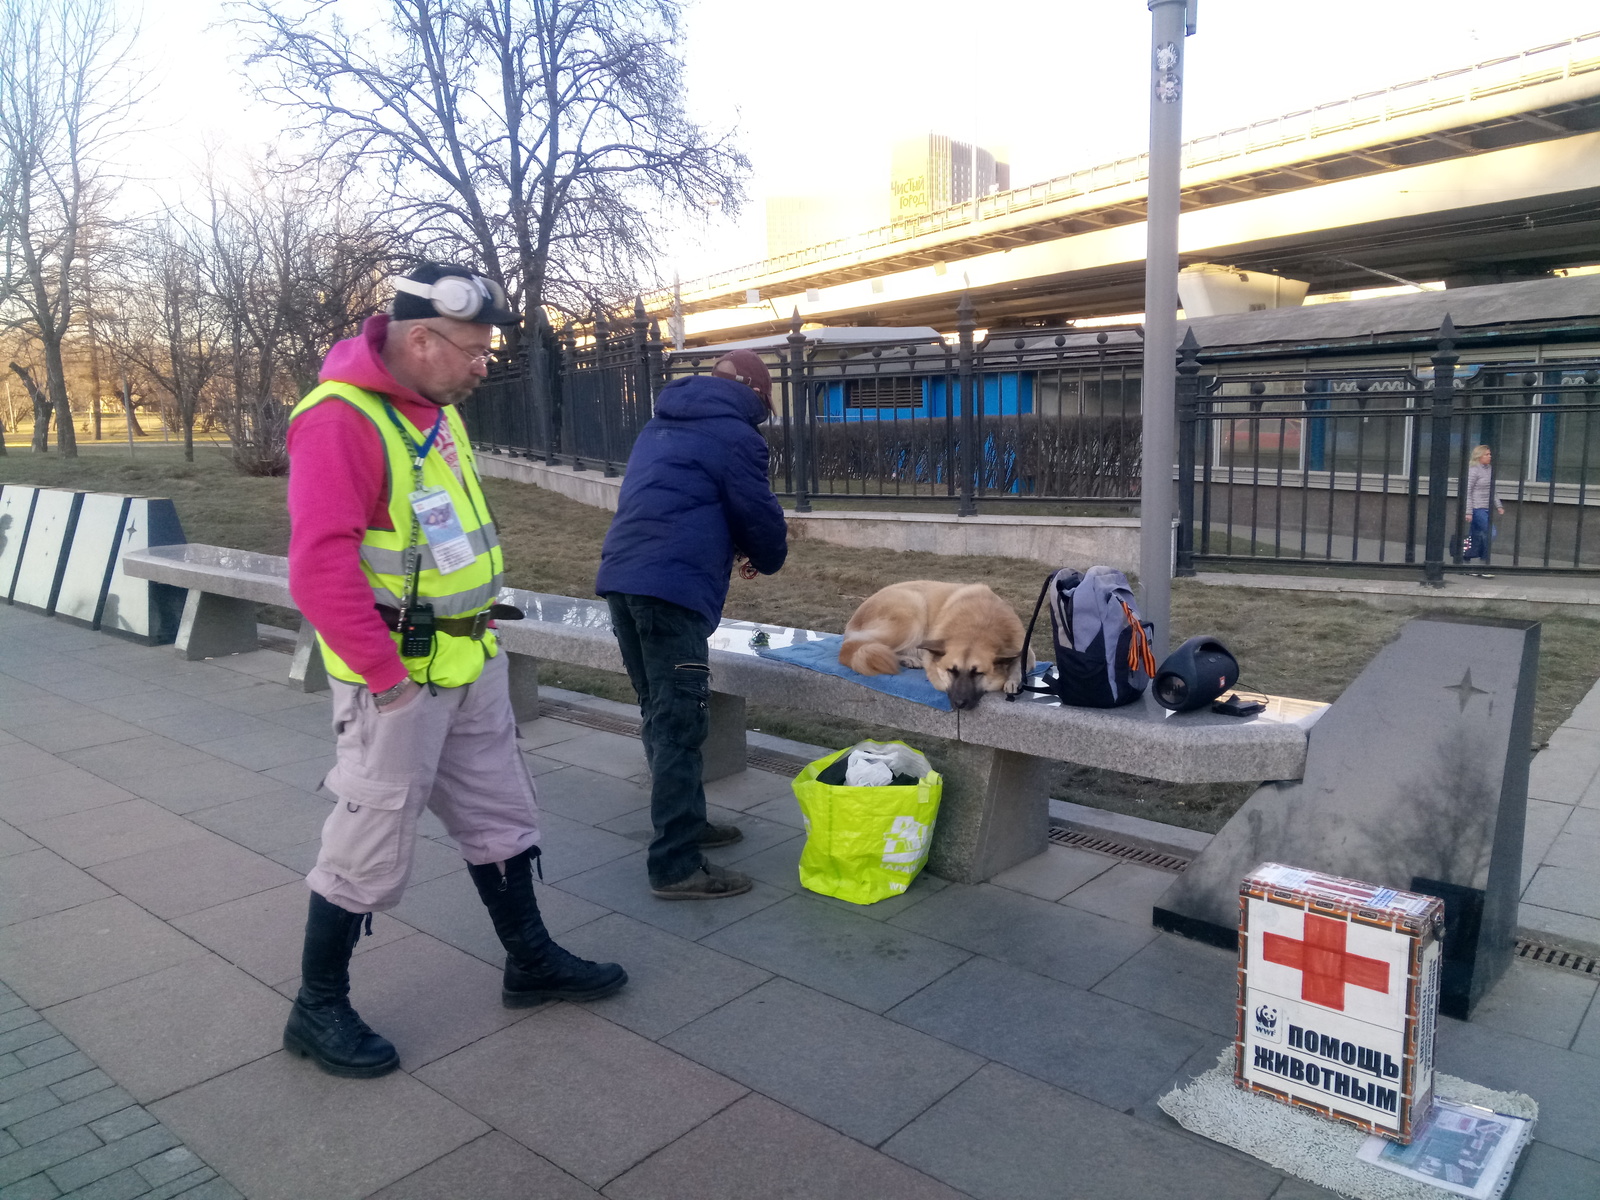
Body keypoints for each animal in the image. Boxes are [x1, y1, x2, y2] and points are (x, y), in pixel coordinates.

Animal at [844, 585, 1030, 713]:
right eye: (951, 671)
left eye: (977, 673)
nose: (959, 703)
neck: (980, 625)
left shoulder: (1025, 650)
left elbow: (1018, 662)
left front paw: (1013, 680)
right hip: (912, 610)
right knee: (854, 647)